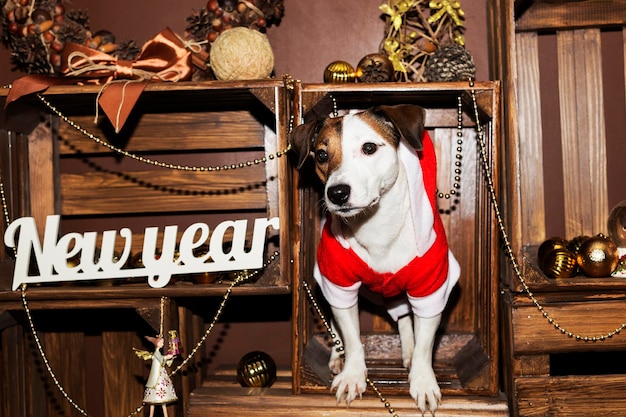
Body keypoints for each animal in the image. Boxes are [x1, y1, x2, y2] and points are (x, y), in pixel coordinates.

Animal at [288, 105, 458, 412]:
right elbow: (352, 337)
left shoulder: (430, 288)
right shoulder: (339, 283)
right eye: (321, 155)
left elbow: (425, 344)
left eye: (369, 147)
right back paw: (338, 354)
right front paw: (352, 374)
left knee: (404, 319)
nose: (337, 193)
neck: (375, 225)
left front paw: (422, 379)